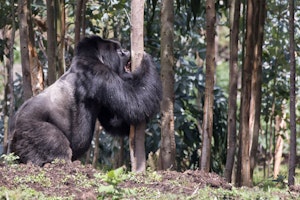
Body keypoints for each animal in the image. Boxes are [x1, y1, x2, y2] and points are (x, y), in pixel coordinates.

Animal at [9, 35, 162, 166]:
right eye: (118, 51)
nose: (125, 51)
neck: (94, 56)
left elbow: (115, 120)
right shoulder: (99, 72)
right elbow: (135, 104)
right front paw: (147, 62)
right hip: (29, 127)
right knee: (54, 142)